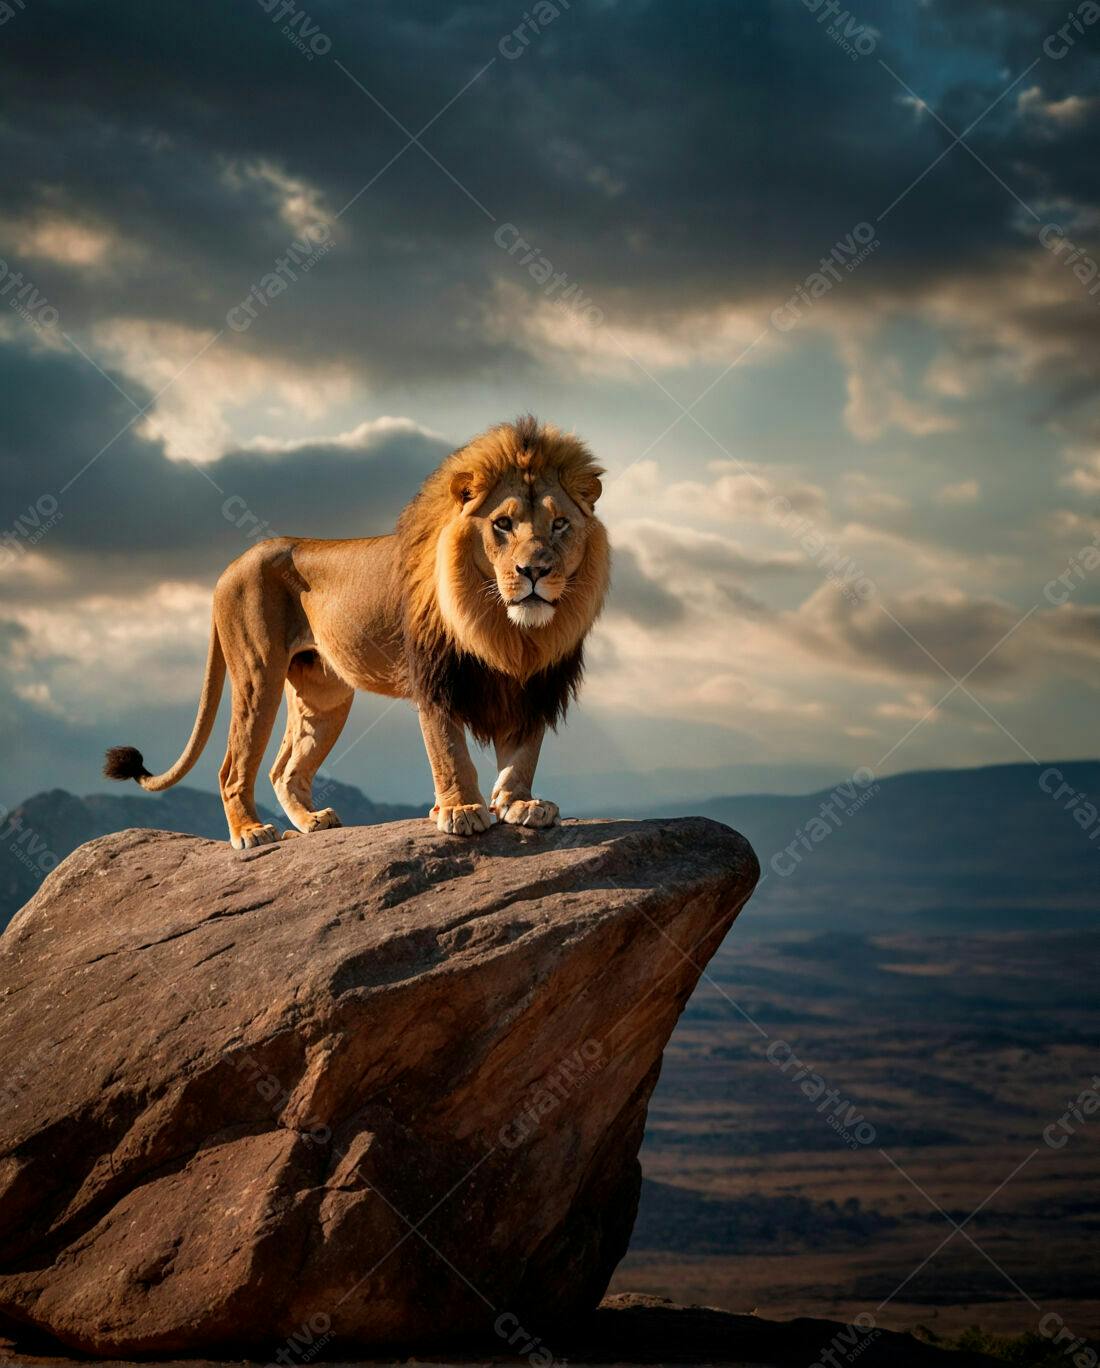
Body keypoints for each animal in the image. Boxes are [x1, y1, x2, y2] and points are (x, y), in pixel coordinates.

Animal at [104, 416, 610, 848]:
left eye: (560, 524)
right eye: (502, 524)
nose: (534, 571)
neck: (507, 628)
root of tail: (230, 566)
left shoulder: (537, 684)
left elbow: (523, 754)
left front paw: (520, 804)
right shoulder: (436, 679)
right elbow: (450, 751)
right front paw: (461, 810)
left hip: (324, 694)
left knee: (284, 770)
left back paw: (312, 821)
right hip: (257, 674)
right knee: (232, 768)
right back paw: (250, 832)